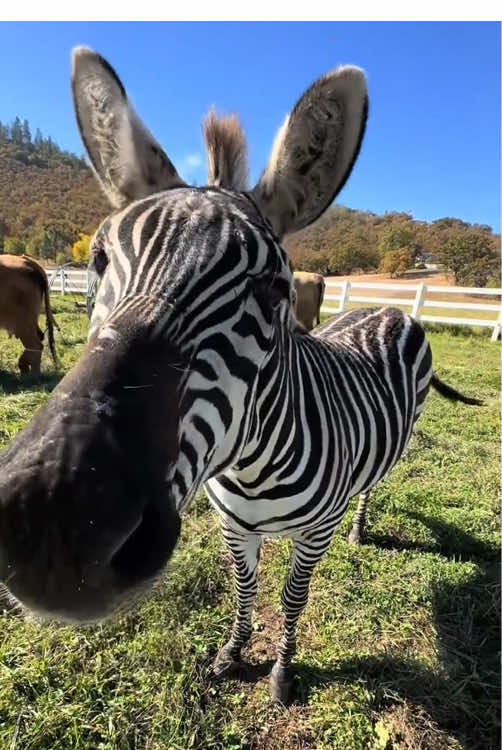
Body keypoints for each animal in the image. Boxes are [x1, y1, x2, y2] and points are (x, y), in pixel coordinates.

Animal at [0, 47, 481, 705]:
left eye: (273, 289)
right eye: (97, 261)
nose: (56, 527)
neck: (252, 469)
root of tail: (384, 308)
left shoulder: (312, 535)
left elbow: (293, 598)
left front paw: (281, 670)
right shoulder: (234, 527)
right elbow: (245, 589)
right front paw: (232, 653)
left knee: (374, 484)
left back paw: (362, 526)